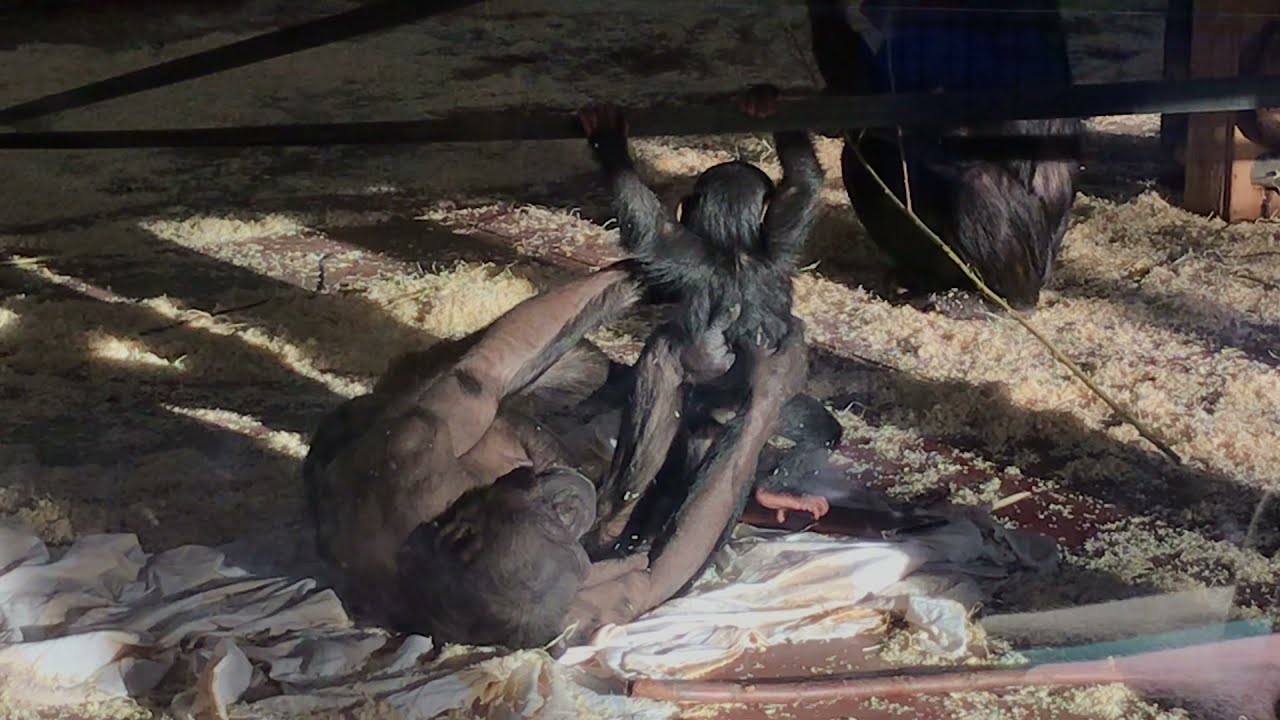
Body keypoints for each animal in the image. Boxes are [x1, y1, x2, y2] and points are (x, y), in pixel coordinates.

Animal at [578, 85, 834, 552]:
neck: (734, 244)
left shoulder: (685, 247)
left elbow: (651, 227)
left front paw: (609, 142)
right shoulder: (779, 233)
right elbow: (803, 183)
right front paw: (764, 106)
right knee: (820, 432)